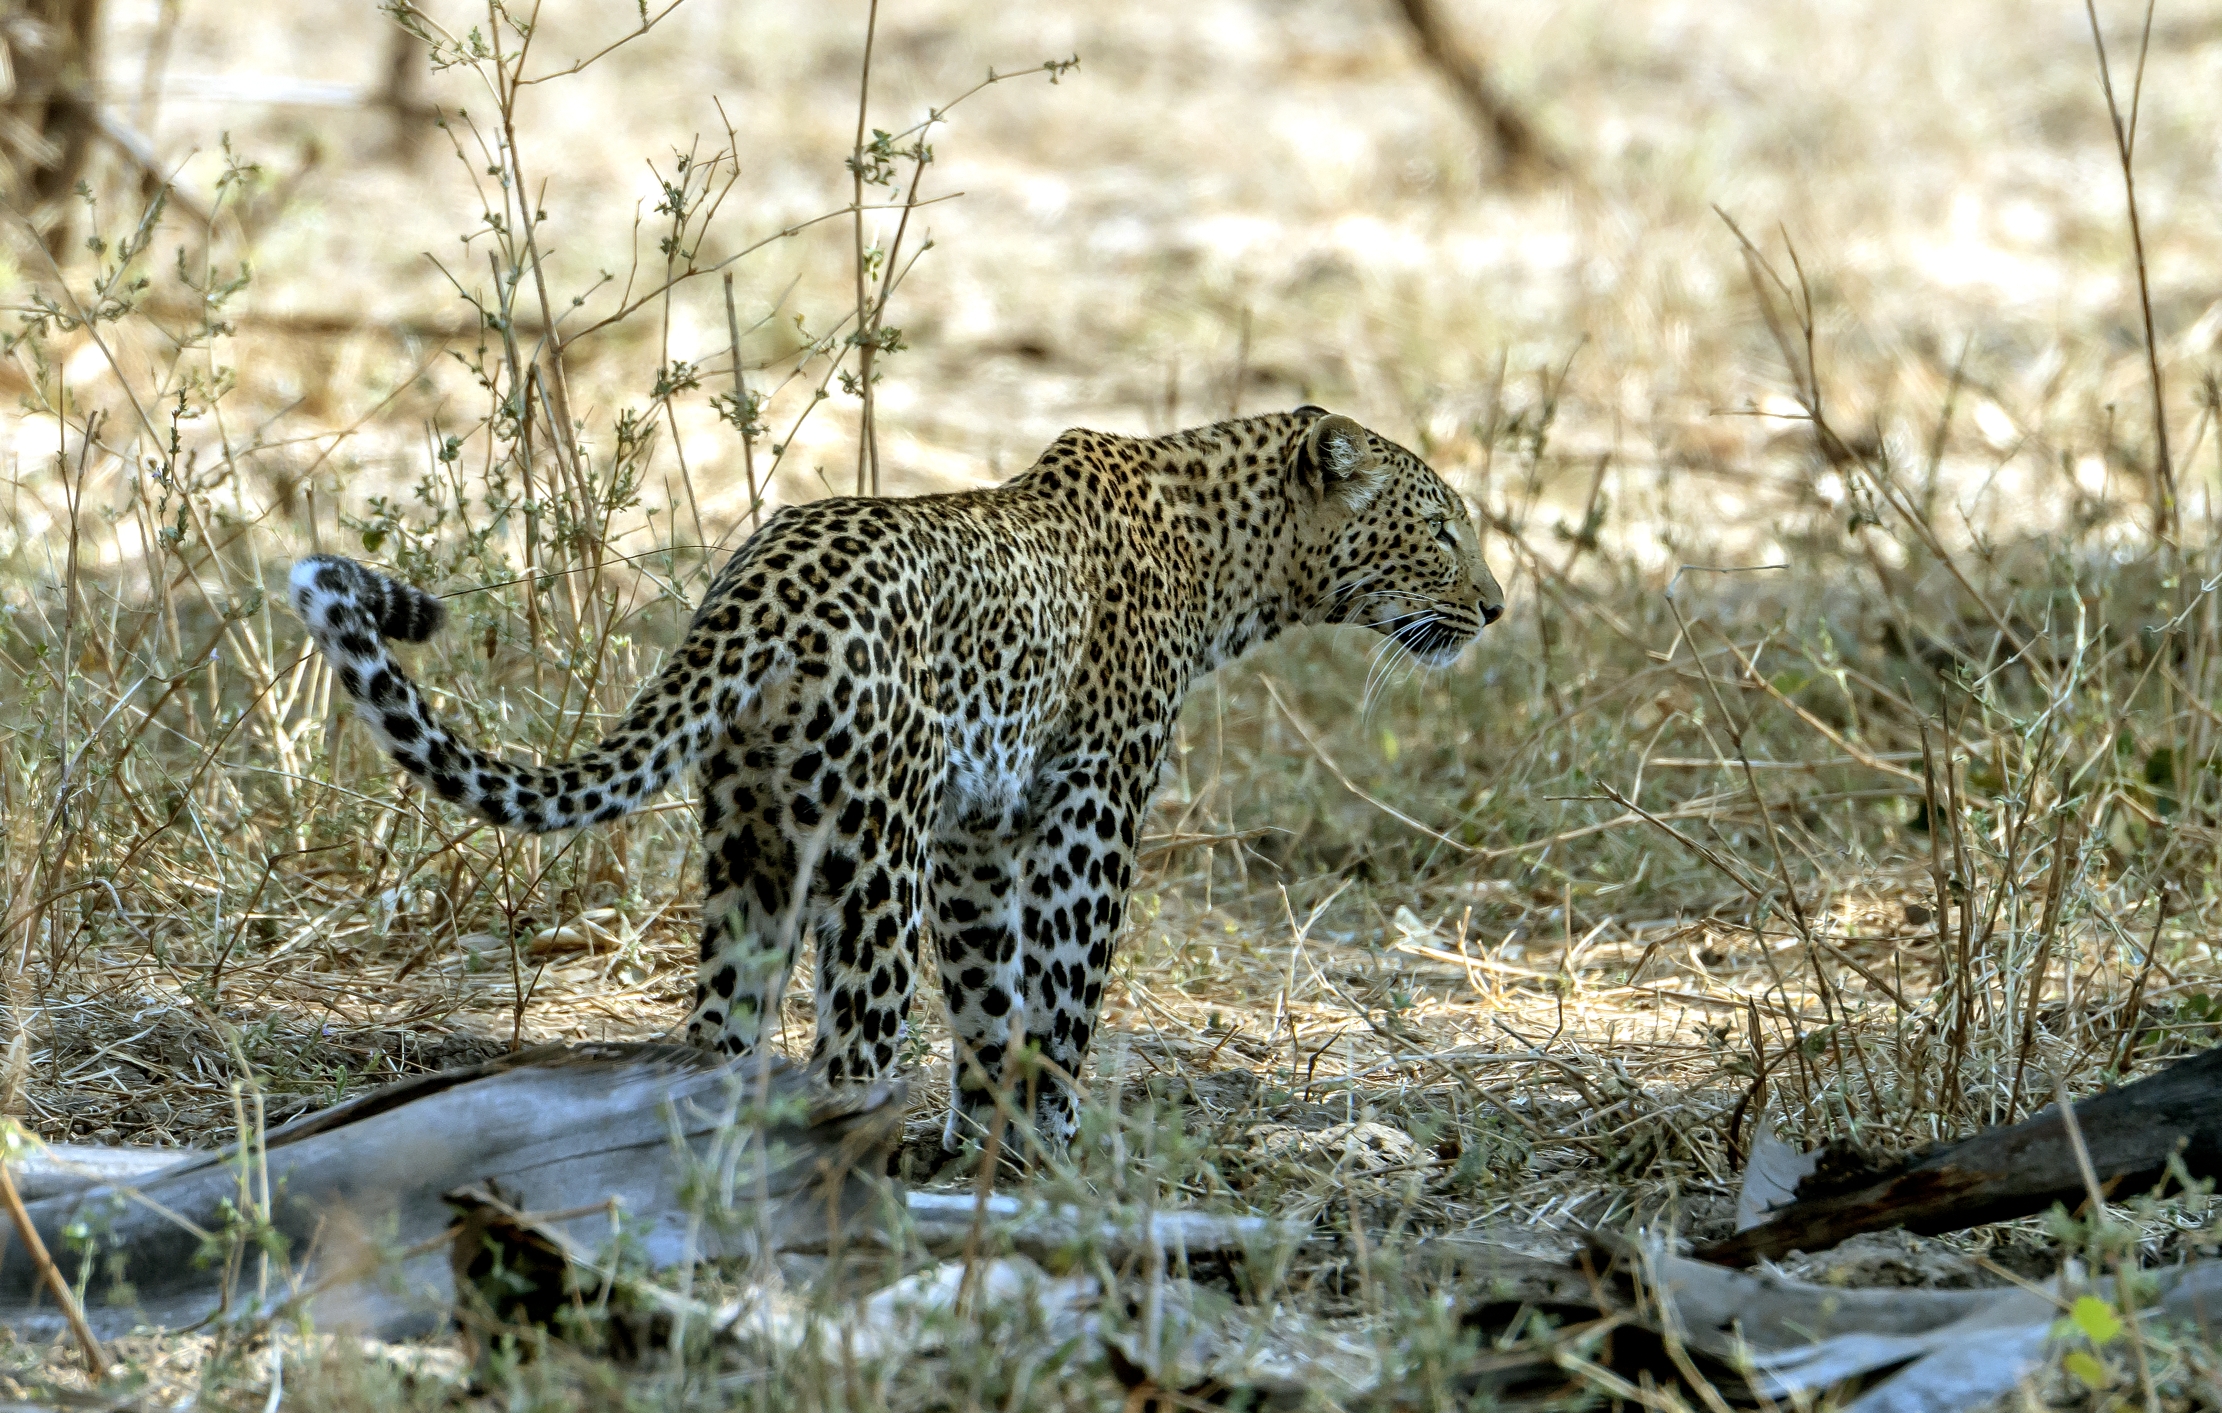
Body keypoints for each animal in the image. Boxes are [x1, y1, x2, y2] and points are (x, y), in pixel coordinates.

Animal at [288, 407, 1505, 1146]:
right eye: (1442, 532)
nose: (1496, 609)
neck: (1230, 561)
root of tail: (752, 587)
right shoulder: (1090, 812)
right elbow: (1065, 994)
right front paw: (1058, 1148)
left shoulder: (978, 833)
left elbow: (987, 999)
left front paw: (989, 1141)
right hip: (873, 856)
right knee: (849, 1040)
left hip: (751, 846)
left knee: (721, 1032)